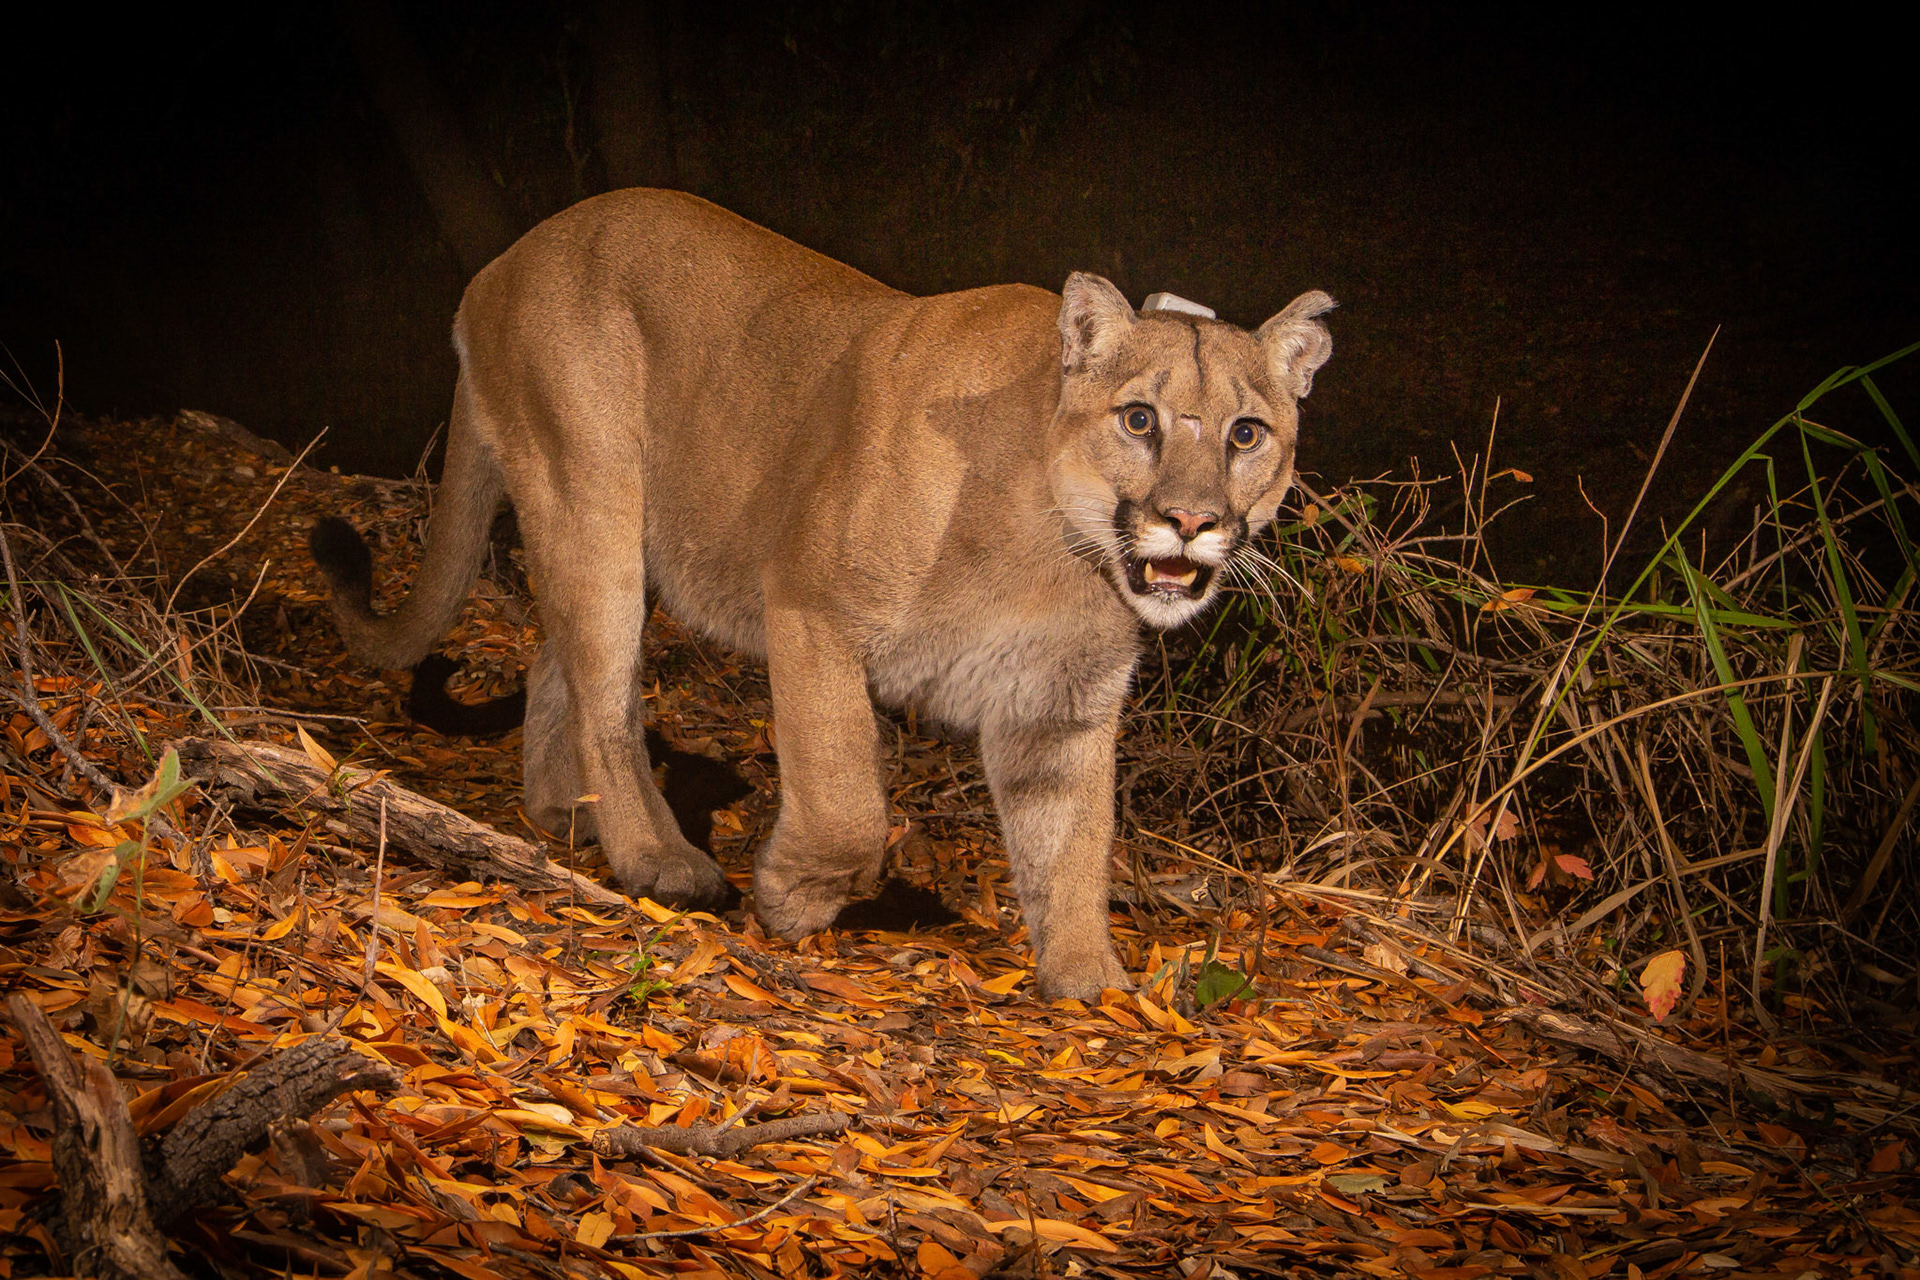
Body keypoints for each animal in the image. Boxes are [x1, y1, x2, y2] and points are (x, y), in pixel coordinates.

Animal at [314, 188, 1336, 997]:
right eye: (1139, 420)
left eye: (1247, 433)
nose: (1193, 520)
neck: (1057, 556)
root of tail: (503, 261)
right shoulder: (810, 608)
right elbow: (848, 798)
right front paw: (793, 899)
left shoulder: (1061, 705)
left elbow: (1076, 845)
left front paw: (1093, 985)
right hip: (591, 495)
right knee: (604, 694)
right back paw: (657, 859)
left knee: (550, 662)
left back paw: (566, 813)